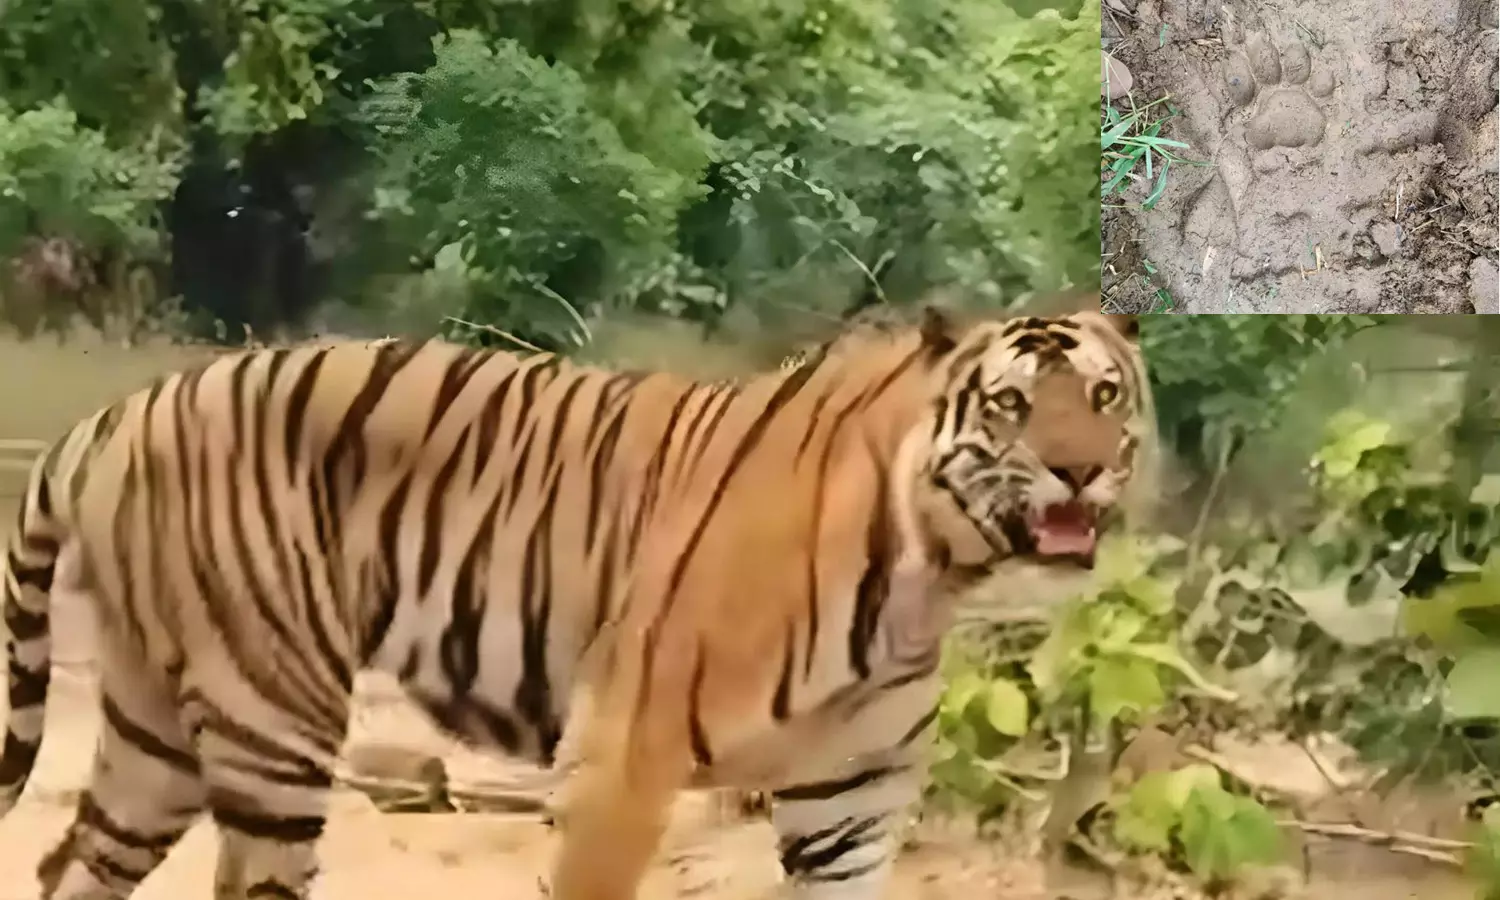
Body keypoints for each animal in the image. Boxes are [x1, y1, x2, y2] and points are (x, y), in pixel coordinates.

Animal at [0, 301, 1153, 900]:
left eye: (1104, 396)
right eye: (1011, 406)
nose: (1082, 472)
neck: (929, 571)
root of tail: (118, 412)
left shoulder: (852, 805)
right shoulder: (622, 761)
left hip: (157, 732)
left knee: (73, 866)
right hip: (271, 720)